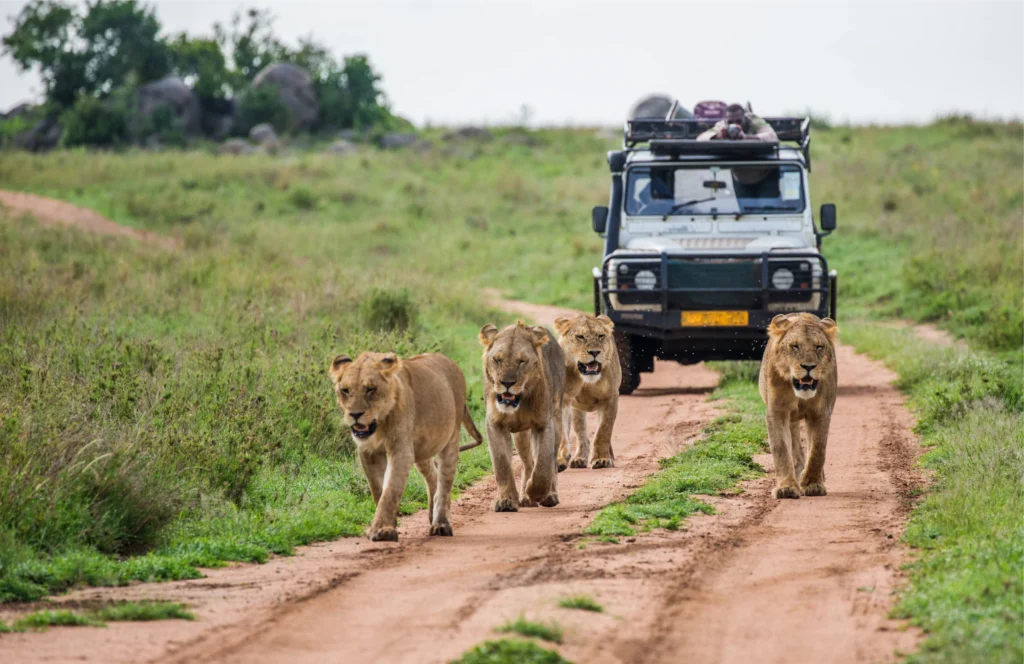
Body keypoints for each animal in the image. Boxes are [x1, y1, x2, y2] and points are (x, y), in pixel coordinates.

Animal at [329, 352, 485, 541]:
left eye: (371, 389)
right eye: (345, 390)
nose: (355, 414)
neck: (380, 424)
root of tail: (450, 362)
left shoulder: (401, 452)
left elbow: (390, 491)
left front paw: (382, 530)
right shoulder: (367, 452)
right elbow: (378, 490)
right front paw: (389, 526)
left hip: (451, 439)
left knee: (444, 484)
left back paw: (441, 523)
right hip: (423, 449)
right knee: (432, 475)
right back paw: (433, 515)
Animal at [479, 319, 569, 510]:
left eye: (521, 361)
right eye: (497, 360)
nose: (507, 383)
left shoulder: (544, 424)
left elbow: (543, 464)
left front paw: (536, 492)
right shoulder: (495, 424)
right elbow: (502, 465)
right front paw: (506, 501)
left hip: (557, 420)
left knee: (550, 462)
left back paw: (548, 496)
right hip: (521, 435)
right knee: (527, 463)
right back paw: (526, 499)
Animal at [552, 313, 622, 469]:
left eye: (601, 336)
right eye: (580, 337)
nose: (595, 352)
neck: (584, 380)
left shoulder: (610, 398)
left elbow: (603, 431)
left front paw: (602, 459)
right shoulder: (562, 401)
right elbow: (562, 433)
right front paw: (560, 459)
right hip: (577, 410)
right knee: (581, 434)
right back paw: (579, 459)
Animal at [761, 315, 839, 498]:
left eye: (819, 347)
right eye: (795, 346)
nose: (809, 367)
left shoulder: (821, 413)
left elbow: (817, 449)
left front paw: (812, 484)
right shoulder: (777, 412)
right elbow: (781, 448)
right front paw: (786, 488)